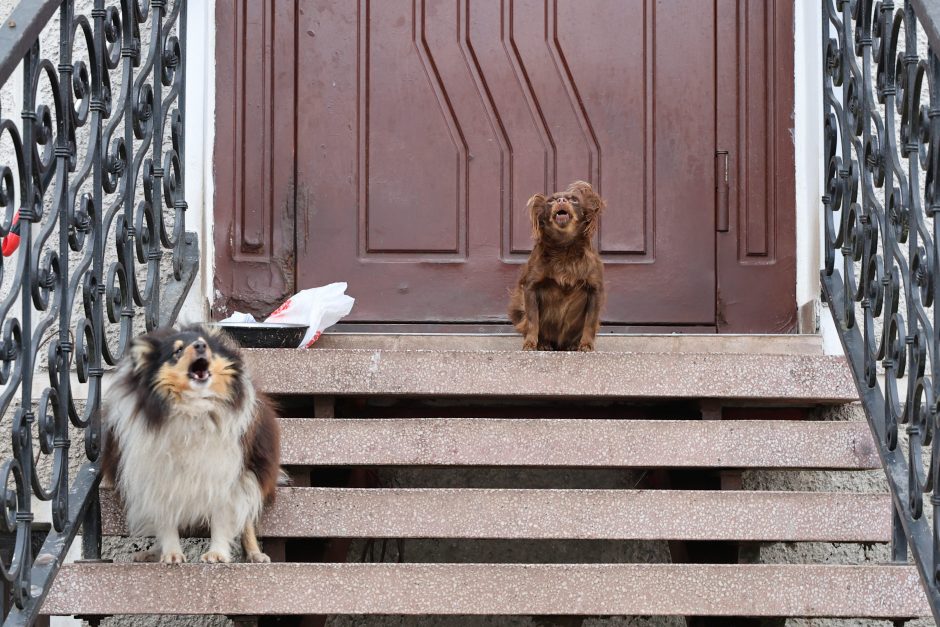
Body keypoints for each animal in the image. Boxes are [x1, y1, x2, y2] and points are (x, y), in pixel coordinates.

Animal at [103, 326, 280, 568]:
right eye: (177, 351)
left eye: (205, 344)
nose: (200, 346)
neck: (193, 409)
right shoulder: (155, 474)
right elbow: (165, 520)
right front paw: (171, 554)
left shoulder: (226, 471)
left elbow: (223, 517)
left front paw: (217, 554)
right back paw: (151, 553)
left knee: (246, 519)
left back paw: (255, 554)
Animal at [510, 180, 604, 354]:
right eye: (551, 201)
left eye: (574, 200)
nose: (561, 200)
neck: (563, 247)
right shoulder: (530, 288)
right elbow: (533, 321)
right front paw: (530, 343)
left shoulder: (595, 290)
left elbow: (589, 322)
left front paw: (586, 344)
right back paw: (543, 344)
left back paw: (573, 345)